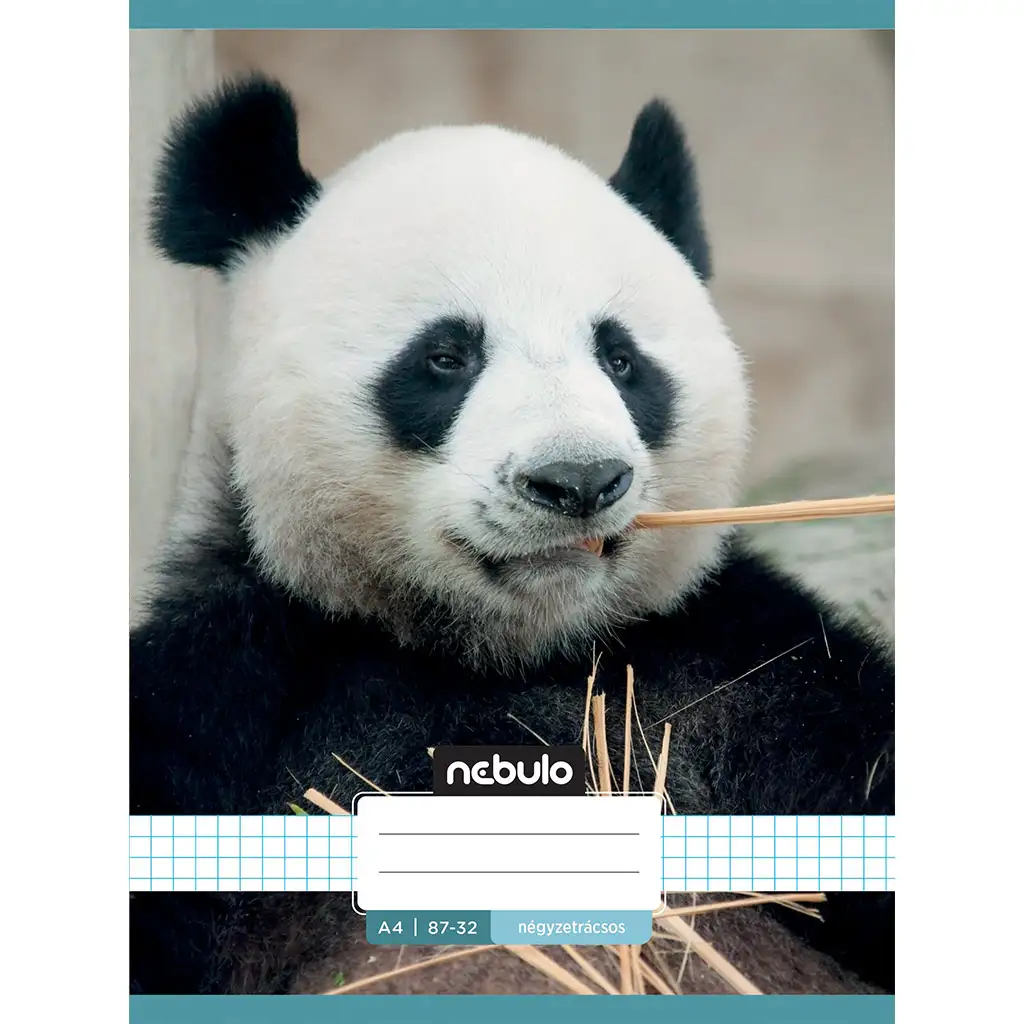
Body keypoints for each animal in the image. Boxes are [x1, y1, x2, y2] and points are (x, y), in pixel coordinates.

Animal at [130, 75, 895, 997]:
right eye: (447, 355)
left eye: (621, 359)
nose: (578, 481)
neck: (506, 653)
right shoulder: (238, 687)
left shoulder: (741, 671)